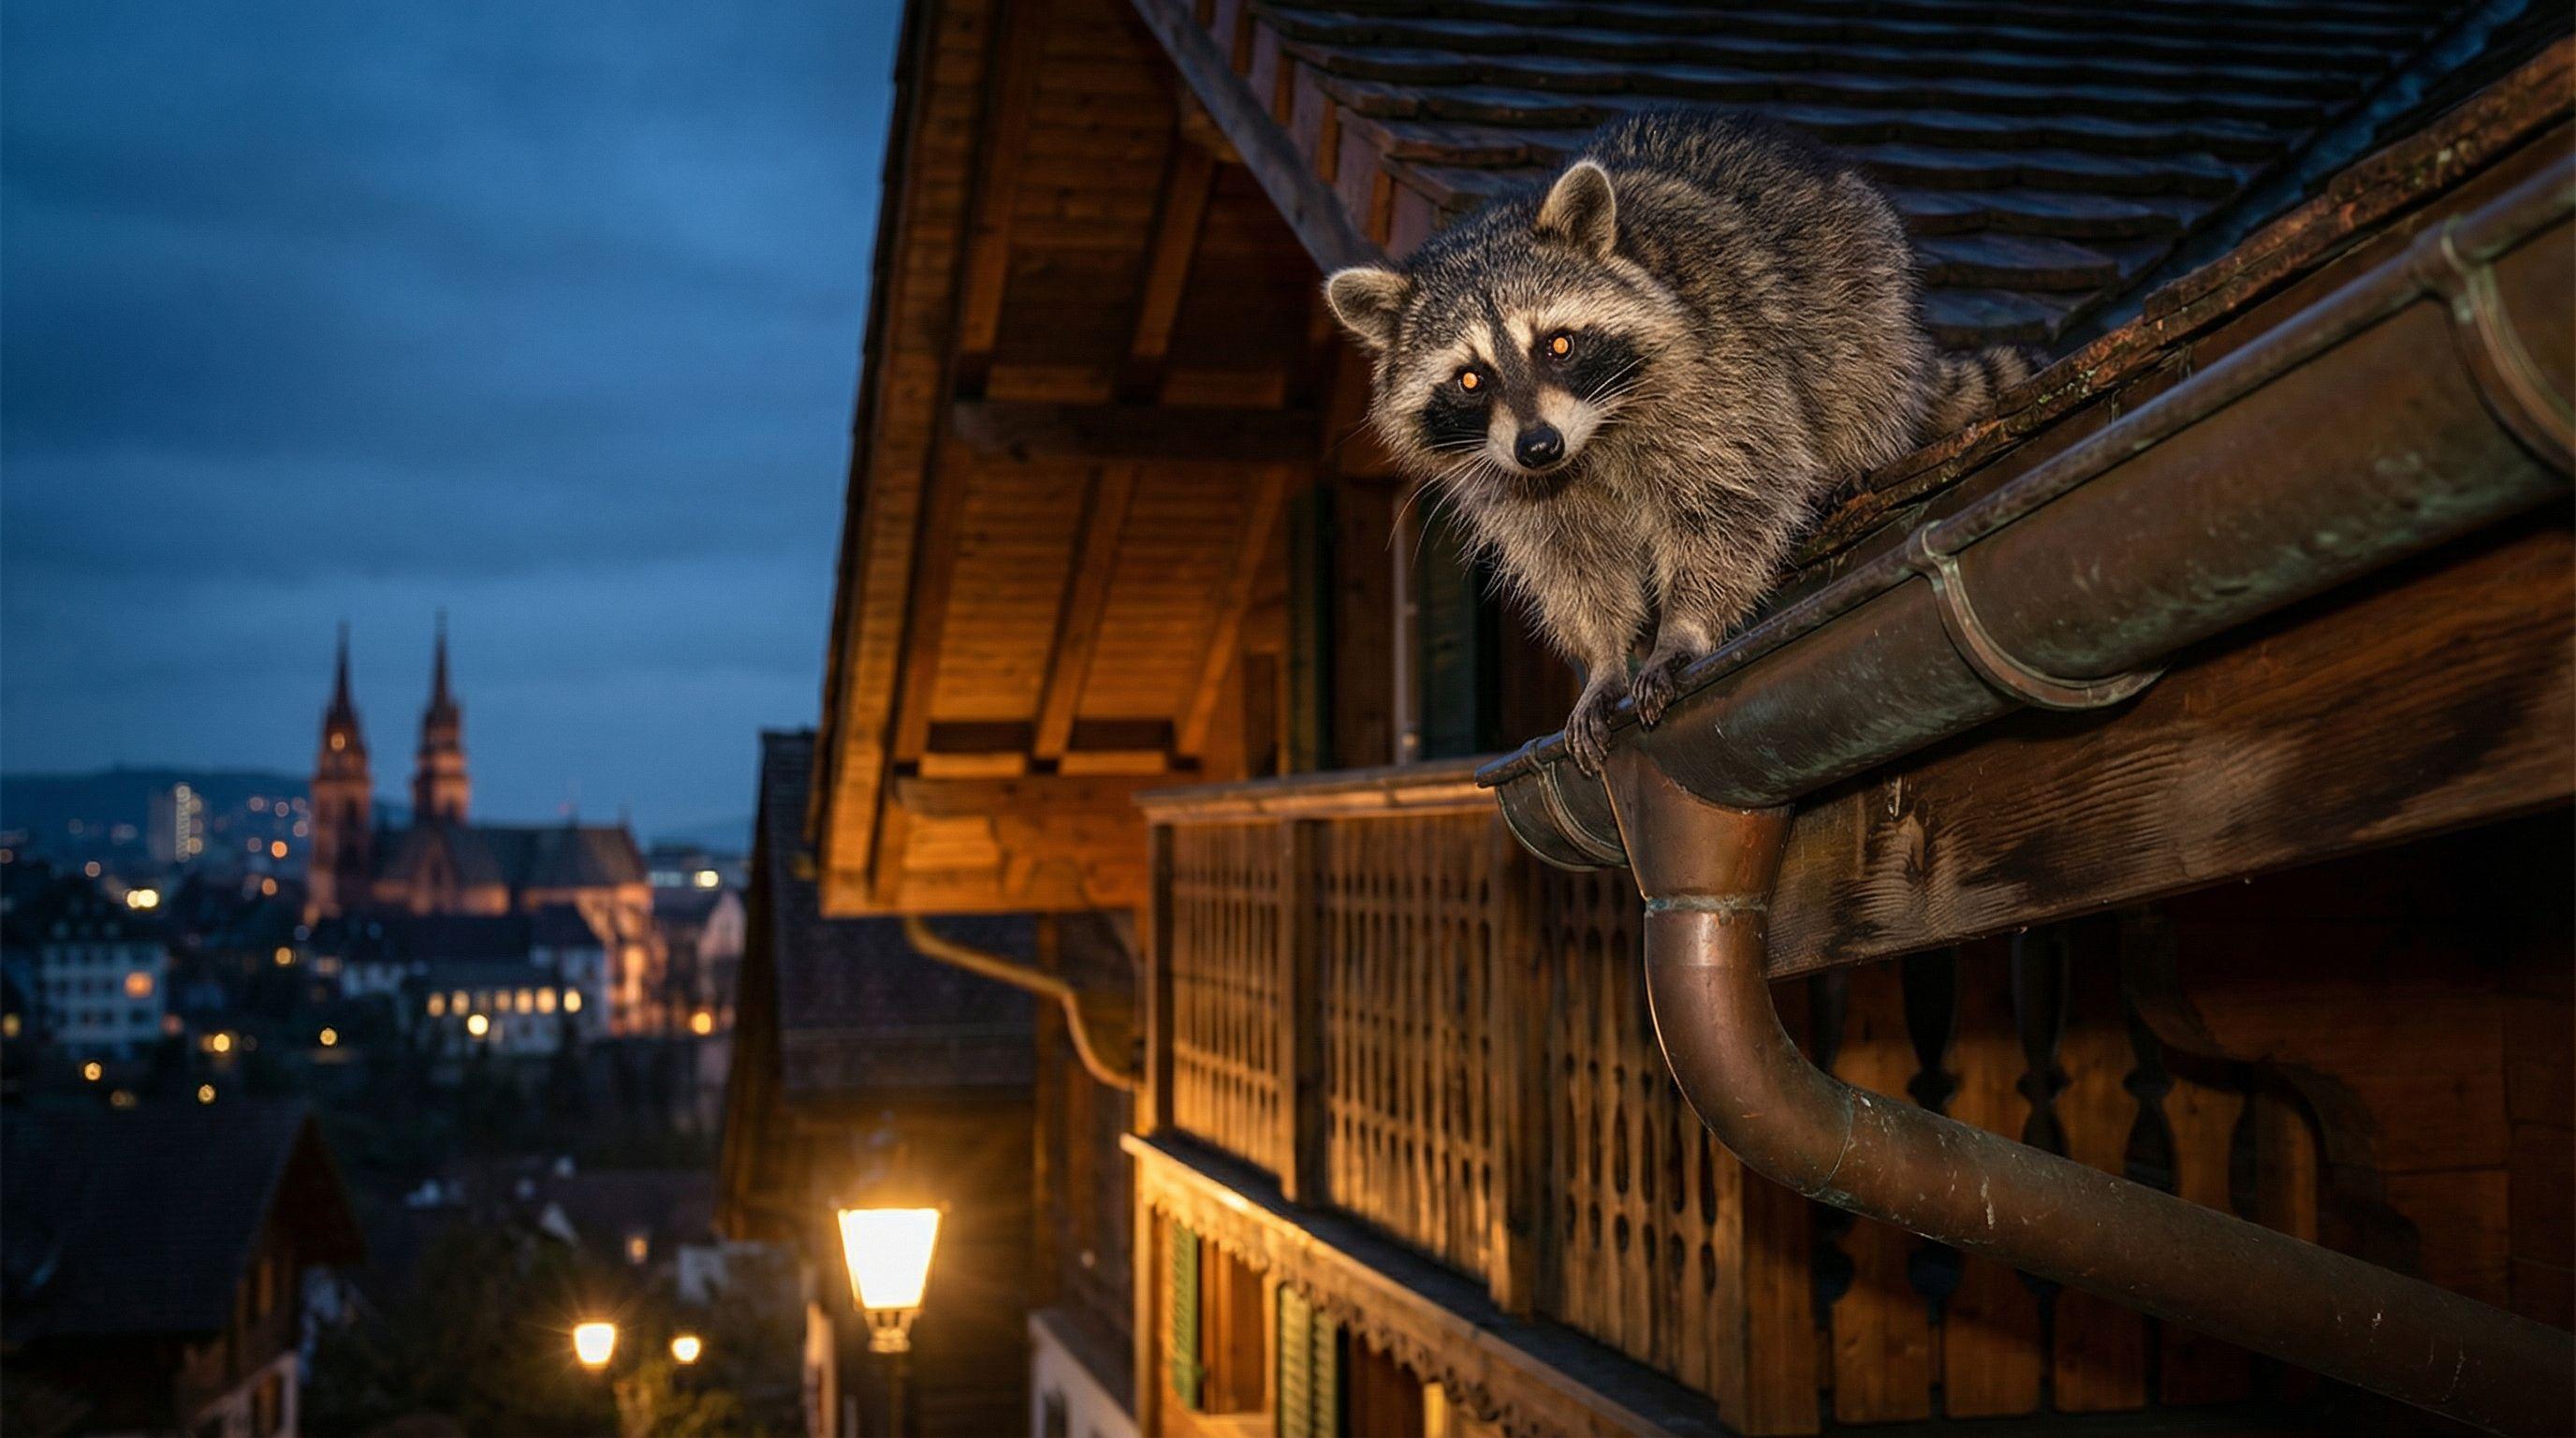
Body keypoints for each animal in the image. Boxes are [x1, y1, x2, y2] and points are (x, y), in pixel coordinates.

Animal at [1325, 109, 2036, 772]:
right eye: (1470, 379)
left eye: (1559, 344)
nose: (1539, 447)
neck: (1590, 439)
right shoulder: (1513, 477)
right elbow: (1572, 559)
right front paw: (1604, 656)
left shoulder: (1720, 373)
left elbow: (1732, 494)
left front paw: (1681, 628)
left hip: (1863, 279)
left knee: (1852, 366)